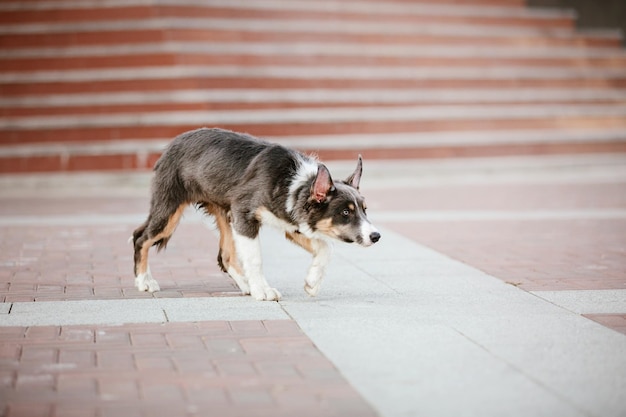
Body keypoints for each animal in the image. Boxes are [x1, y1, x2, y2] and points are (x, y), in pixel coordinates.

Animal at [130, 127, 380, 300]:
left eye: (364, 210)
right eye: (345, 212)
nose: (376, 236)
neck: (292, 183)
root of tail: (171, 145)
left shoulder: (291, 222)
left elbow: (325, 247)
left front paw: (312, 282)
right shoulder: (244, 215)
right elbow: (255, 258)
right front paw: (263, 290)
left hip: (224, 212)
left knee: (225, 256)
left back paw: (246, 284)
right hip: (170, 209)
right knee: (140, 237)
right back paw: (144, 281)